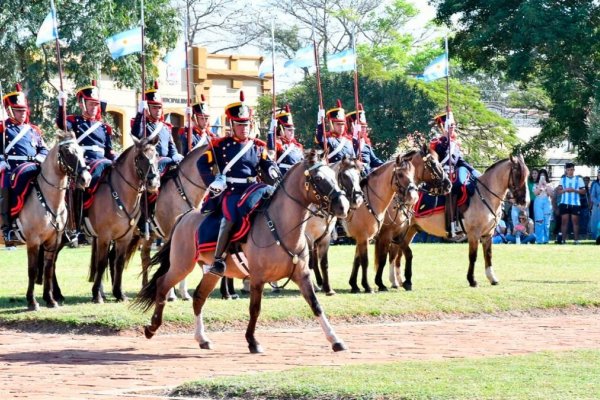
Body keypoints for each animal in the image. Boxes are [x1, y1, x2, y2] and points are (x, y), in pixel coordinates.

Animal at [0, 130, 91, 310]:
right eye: (68, 152)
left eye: (82, 152)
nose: (86, 179)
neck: (48, 200)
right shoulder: (33, 241)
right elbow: (33, 270)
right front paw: (32, 301)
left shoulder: (53, 241)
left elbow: (48, 268)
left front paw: (50, 299)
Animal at [135, 150, 360, 354]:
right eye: (319, 178)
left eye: (334, 177)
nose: (343, 205)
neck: (281, 226)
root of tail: (185, 216)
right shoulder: (257, 279)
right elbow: (255, 309)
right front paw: (253, 342)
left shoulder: (302, 275)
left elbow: (316, 305)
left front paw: (335, 339)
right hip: (181, 265)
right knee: (162, 284)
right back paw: (152, 327)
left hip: (211, 271)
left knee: (199, 297)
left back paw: (202, 338)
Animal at [382, 155, 528, 290]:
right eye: (518, 174)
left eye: (527, 175)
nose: (524, 201)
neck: (484, 195)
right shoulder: (474, 234)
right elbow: (473, 256)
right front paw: (472, 280)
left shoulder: (488, 234)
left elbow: (488, 256)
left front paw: (492, 278)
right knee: (394, 252)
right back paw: (395, 281)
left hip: (410, 230)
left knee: (398, 253)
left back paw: (399, 281)